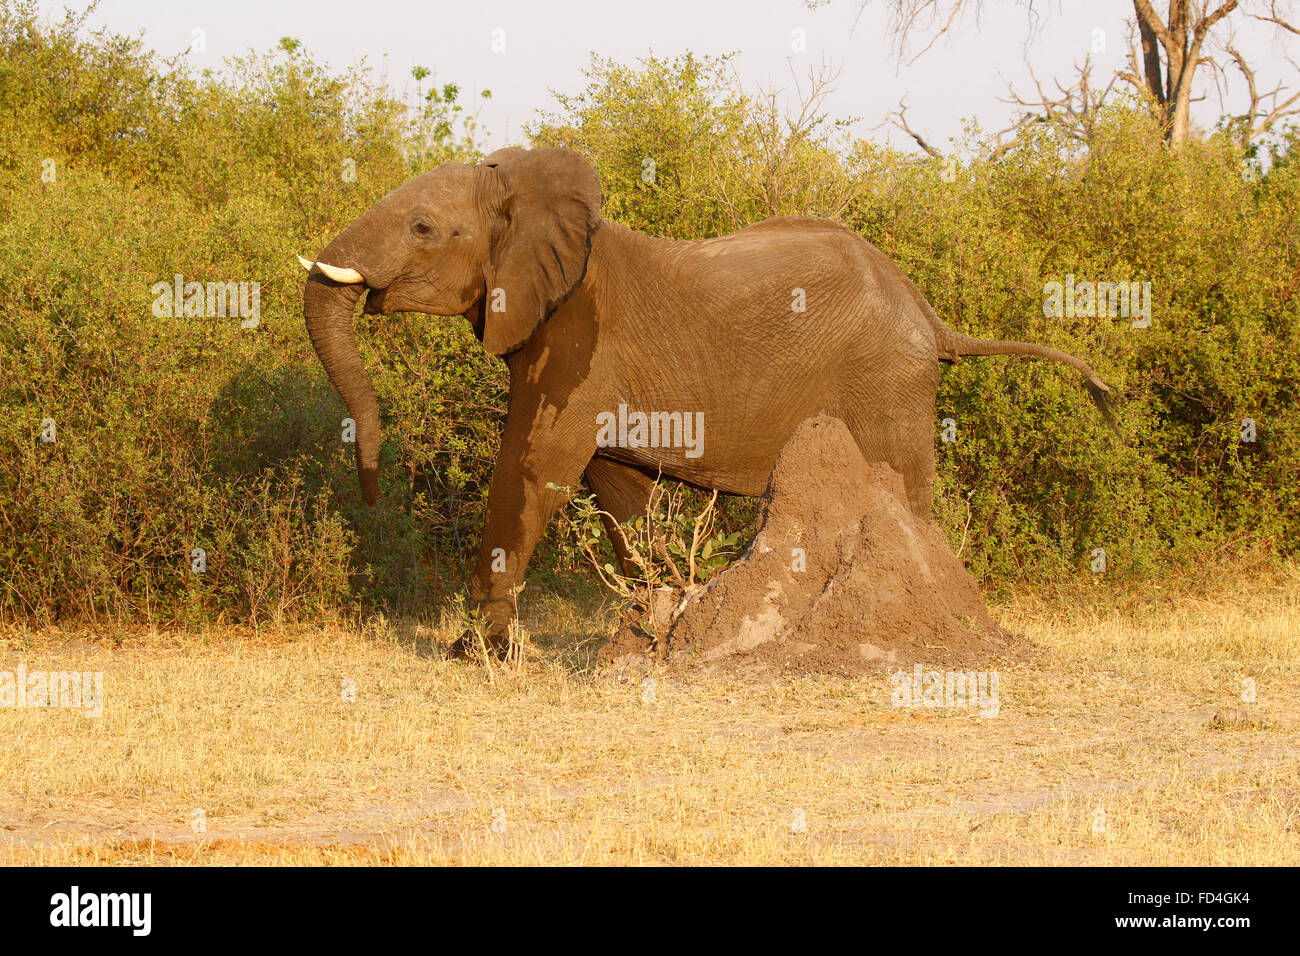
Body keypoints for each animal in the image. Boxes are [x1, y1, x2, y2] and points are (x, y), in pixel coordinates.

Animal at [300, 146, 1112, 656]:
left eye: (424, 229)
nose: (369, 491)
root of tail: (931, 316)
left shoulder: (578, 340)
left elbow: (535, 463)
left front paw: (478, 655)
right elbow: (617, 490)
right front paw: (653, 612)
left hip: (887, 384)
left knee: (906, 494)